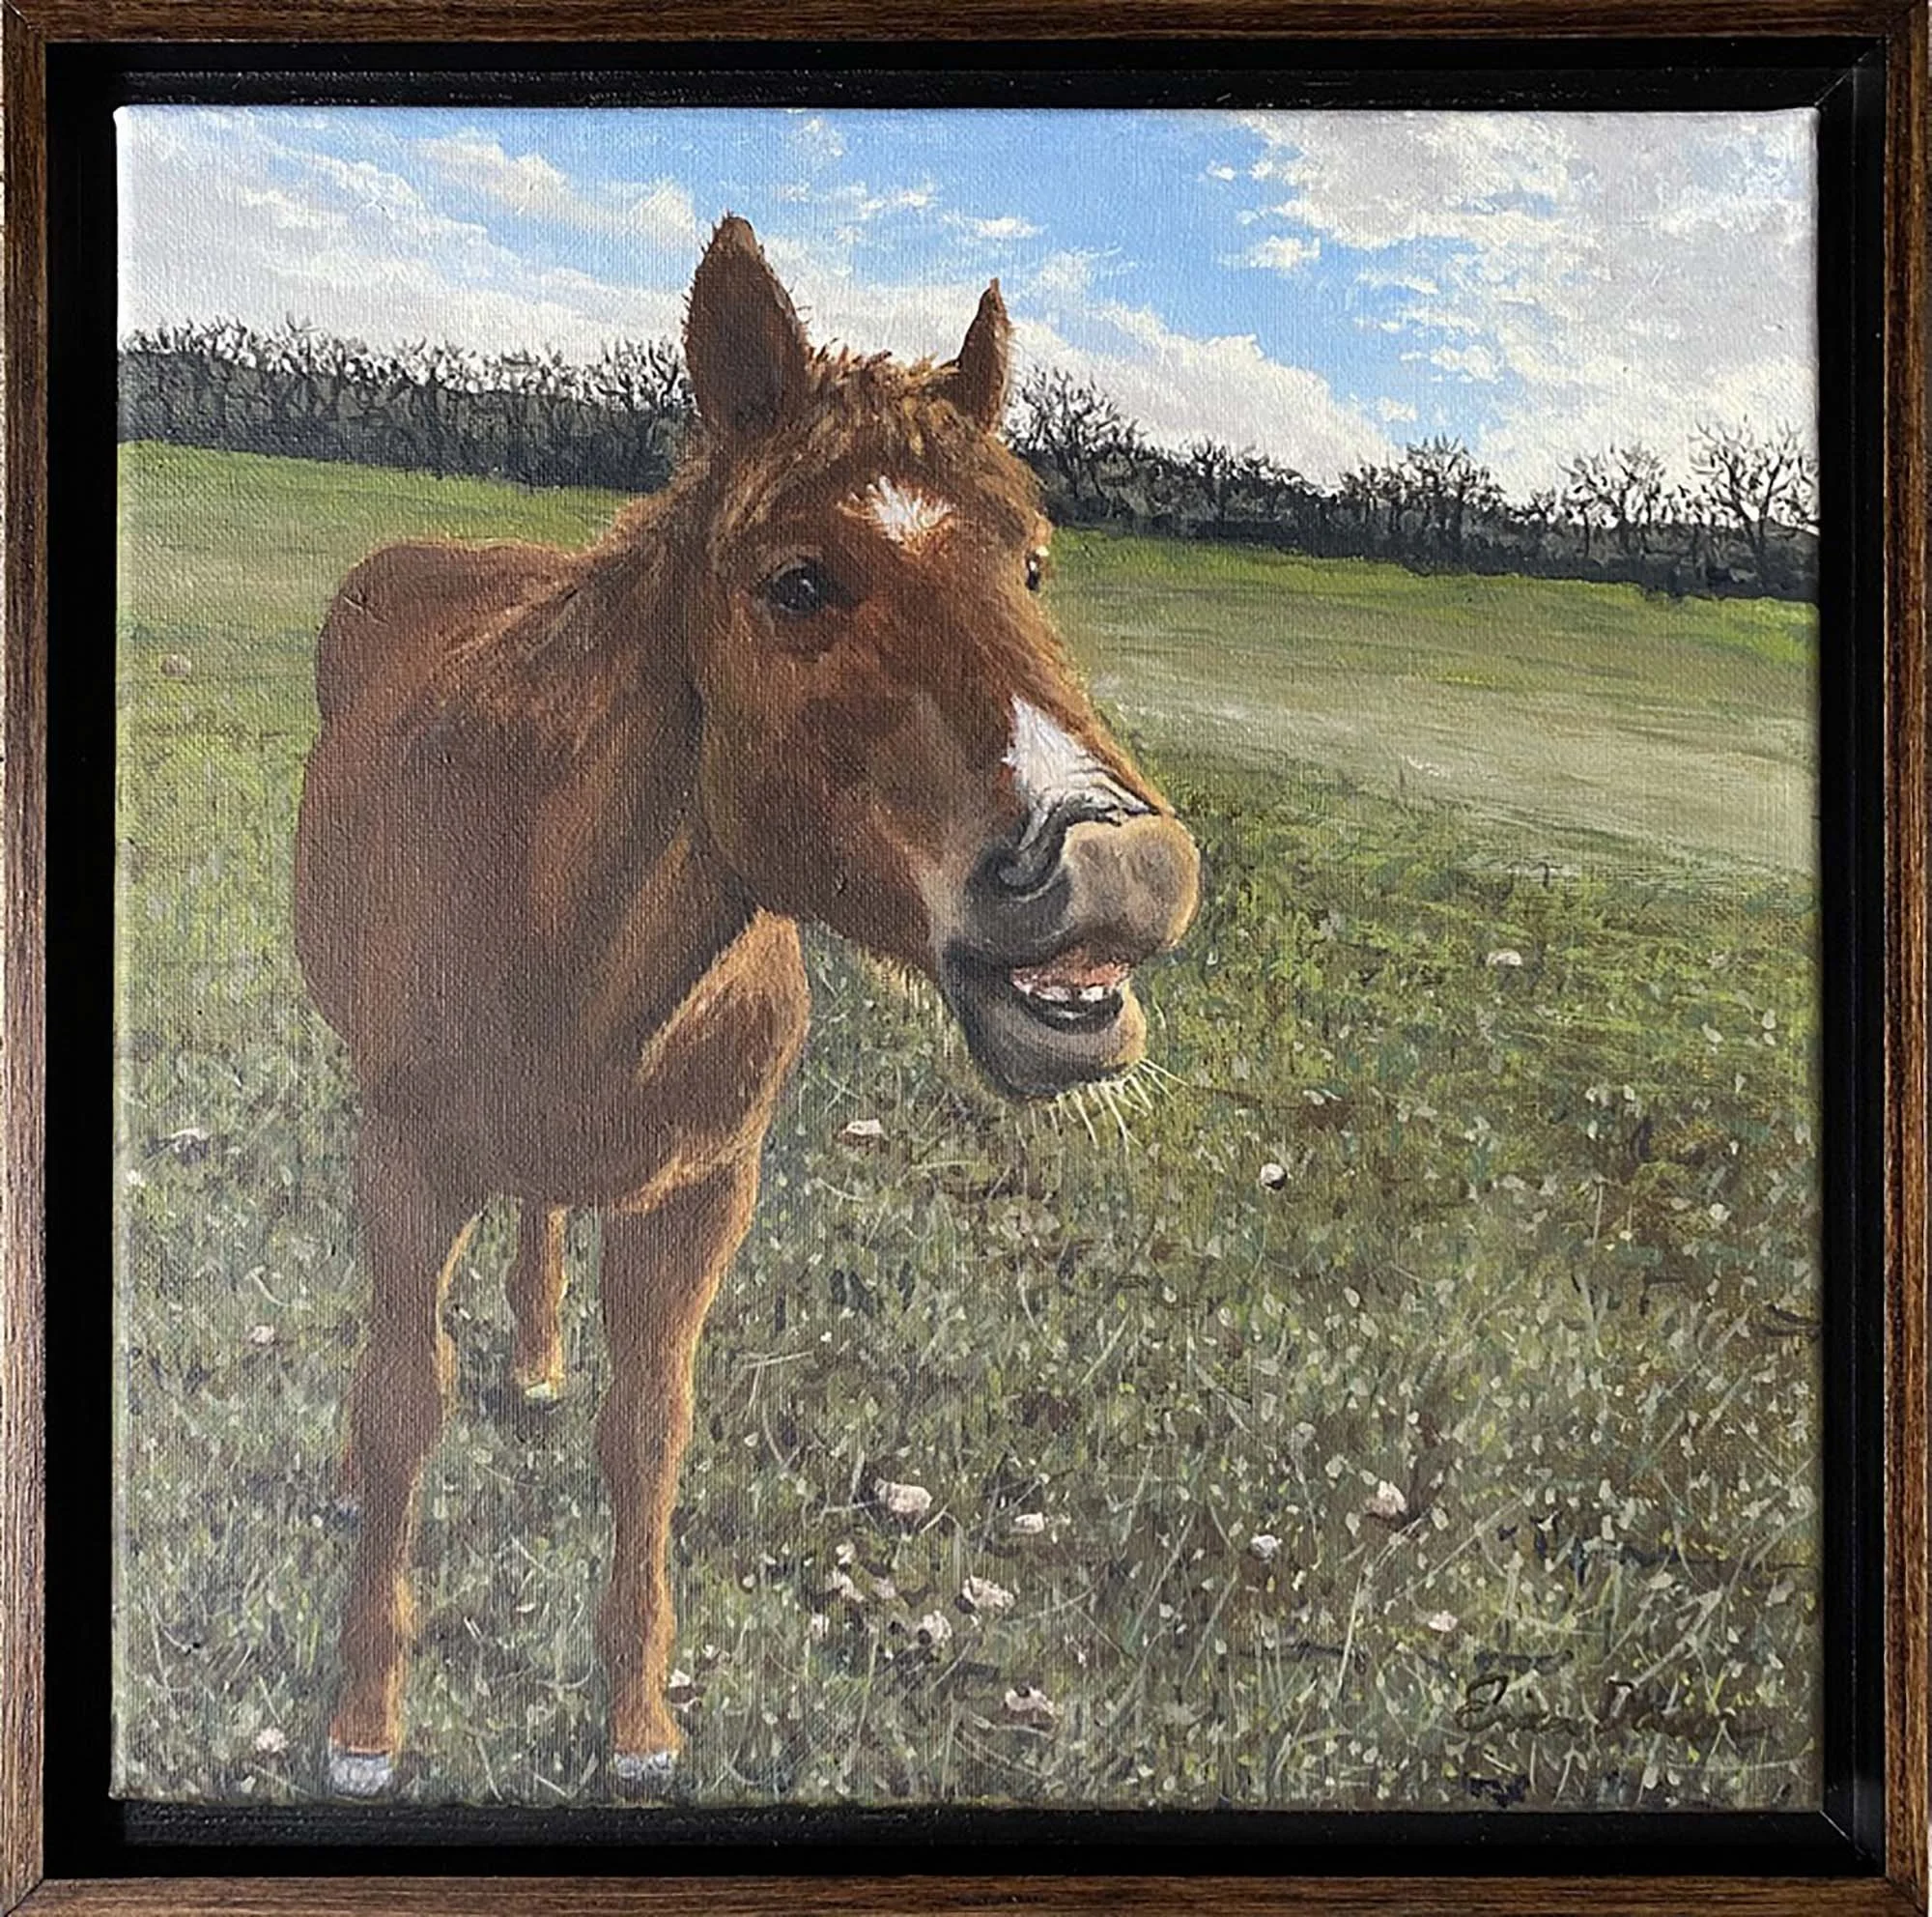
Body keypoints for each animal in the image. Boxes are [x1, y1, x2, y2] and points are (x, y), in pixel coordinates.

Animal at [294, 215, 1201, 1798]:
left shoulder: (705, 1188)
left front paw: (638, 1725)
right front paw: (365, 1724)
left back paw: (536, 1362)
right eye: (796, 582)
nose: (1117, 870)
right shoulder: (404, 1162)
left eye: (1031, 566)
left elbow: (647, 1432)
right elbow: (401, 1403)